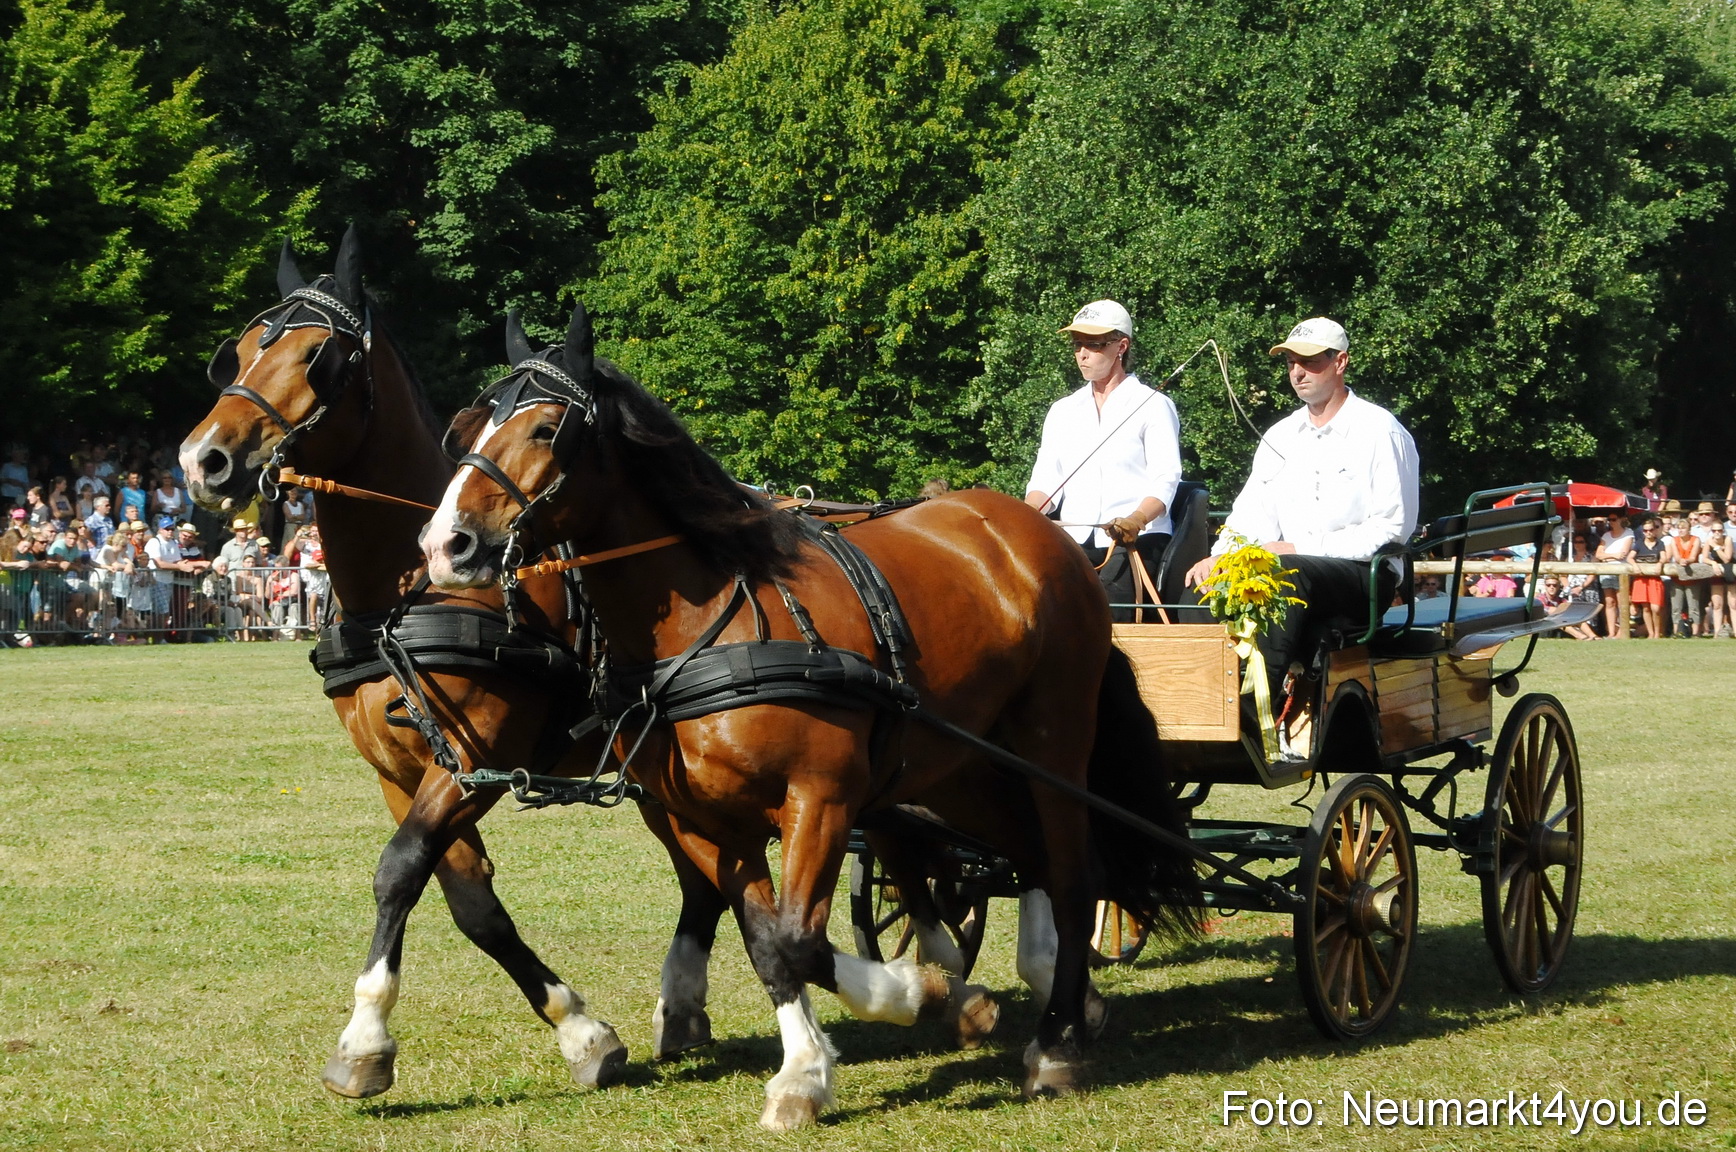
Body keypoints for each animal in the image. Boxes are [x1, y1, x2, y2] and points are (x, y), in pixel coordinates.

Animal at [176, 230, 734, 1100]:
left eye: (316, 357)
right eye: (236, 352)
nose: (205, 461)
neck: (409, 588)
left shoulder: (477, 760)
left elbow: (400, 868)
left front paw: (364, 1039)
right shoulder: (401, 771)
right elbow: (471, 903)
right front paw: (581, 1032)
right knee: (703, 869)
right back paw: (686, 1011)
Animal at [421, 303, 1201, 1130]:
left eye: (545, 428)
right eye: (470, 428)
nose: (446, 544)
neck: (714, 620)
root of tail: (1045, 536)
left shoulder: (818, 798)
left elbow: (801, 938)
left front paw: (909, 996)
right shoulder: (712, 823)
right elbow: (769, 942)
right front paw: (823, 1058)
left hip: (1052, 743)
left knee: (1075, 870)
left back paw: (1056, 1044)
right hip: (960, 769)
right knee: (1030, 858)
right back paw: (1071, 999)